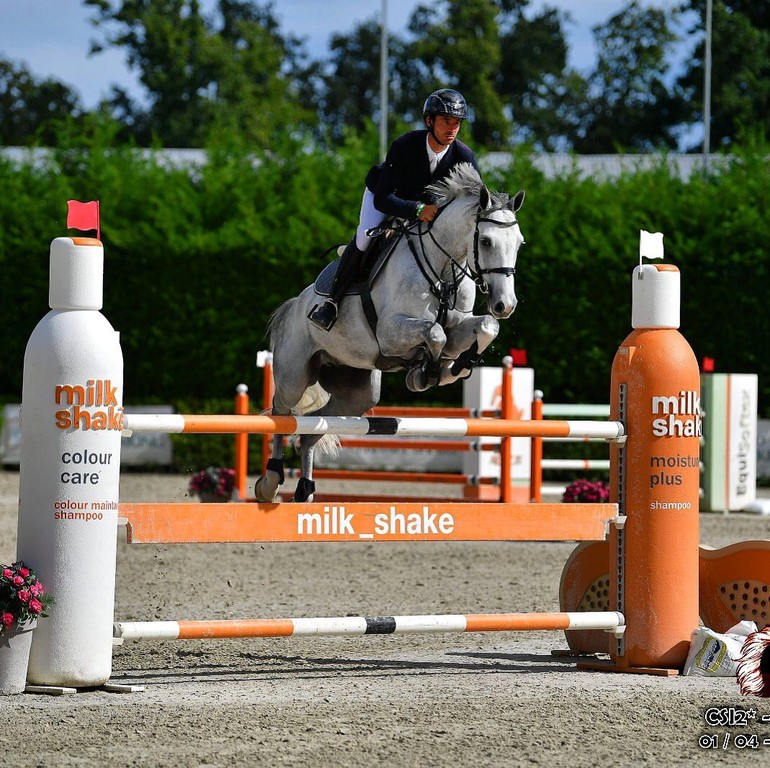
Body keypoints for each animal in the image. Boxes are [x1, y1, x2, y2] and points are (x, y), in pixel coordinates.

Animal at [255, 164, 524, 504]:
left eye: (519, 243)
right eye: (486, 241)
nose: (505, 304)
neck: (443, 267)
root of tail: (293, 306)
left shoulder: (459, 326)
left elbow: (486, 327)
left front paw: (455, 367)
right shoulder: (391, 333)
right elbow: (435, 333)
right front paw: (424, 373)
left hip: (356, 393)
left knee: (311, 429)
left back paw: (305, 490)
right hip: (294, 374)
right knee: (282, 412)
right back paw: (270, 481)